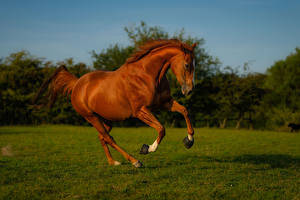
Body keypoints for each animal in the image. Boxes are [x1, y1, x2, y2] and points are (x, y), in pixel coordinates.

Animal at [34, 39, 197, 167]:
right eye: (187, 65)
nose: (189, 90)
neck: (147, 75)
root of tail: (77, 84)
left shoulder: (164, 103)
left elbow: (184, 110)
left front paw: (189, 141)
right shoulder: (140, 111)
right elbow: (161, 128)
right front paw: (147, 148)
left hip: (106, 120)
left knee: (102, 137)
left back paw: (113, 162)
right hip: (91, 117)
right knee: (108, 138)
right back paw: (135, 161)